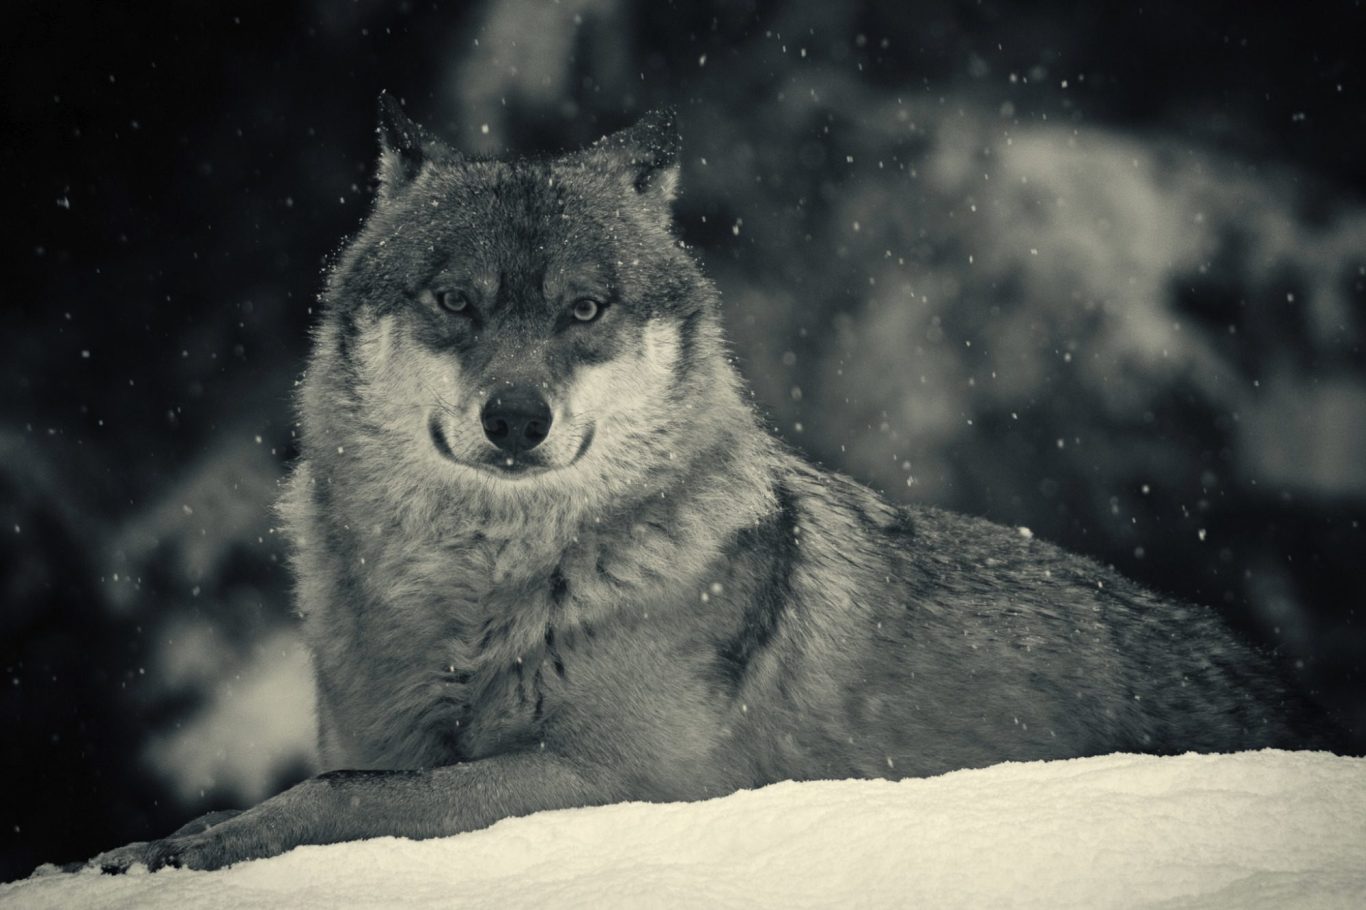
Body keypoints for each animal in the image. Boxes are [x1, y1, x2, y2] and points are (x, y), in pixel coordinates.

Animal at [85, 96, 1339, 873]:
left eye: (585, 308)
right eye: (454, 301)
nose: (516, 418)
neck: (481, 597)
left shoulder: (611, 778)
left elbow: (347, 793)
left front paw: (194, 843)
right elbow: (347, 776)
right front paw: (155, 843)